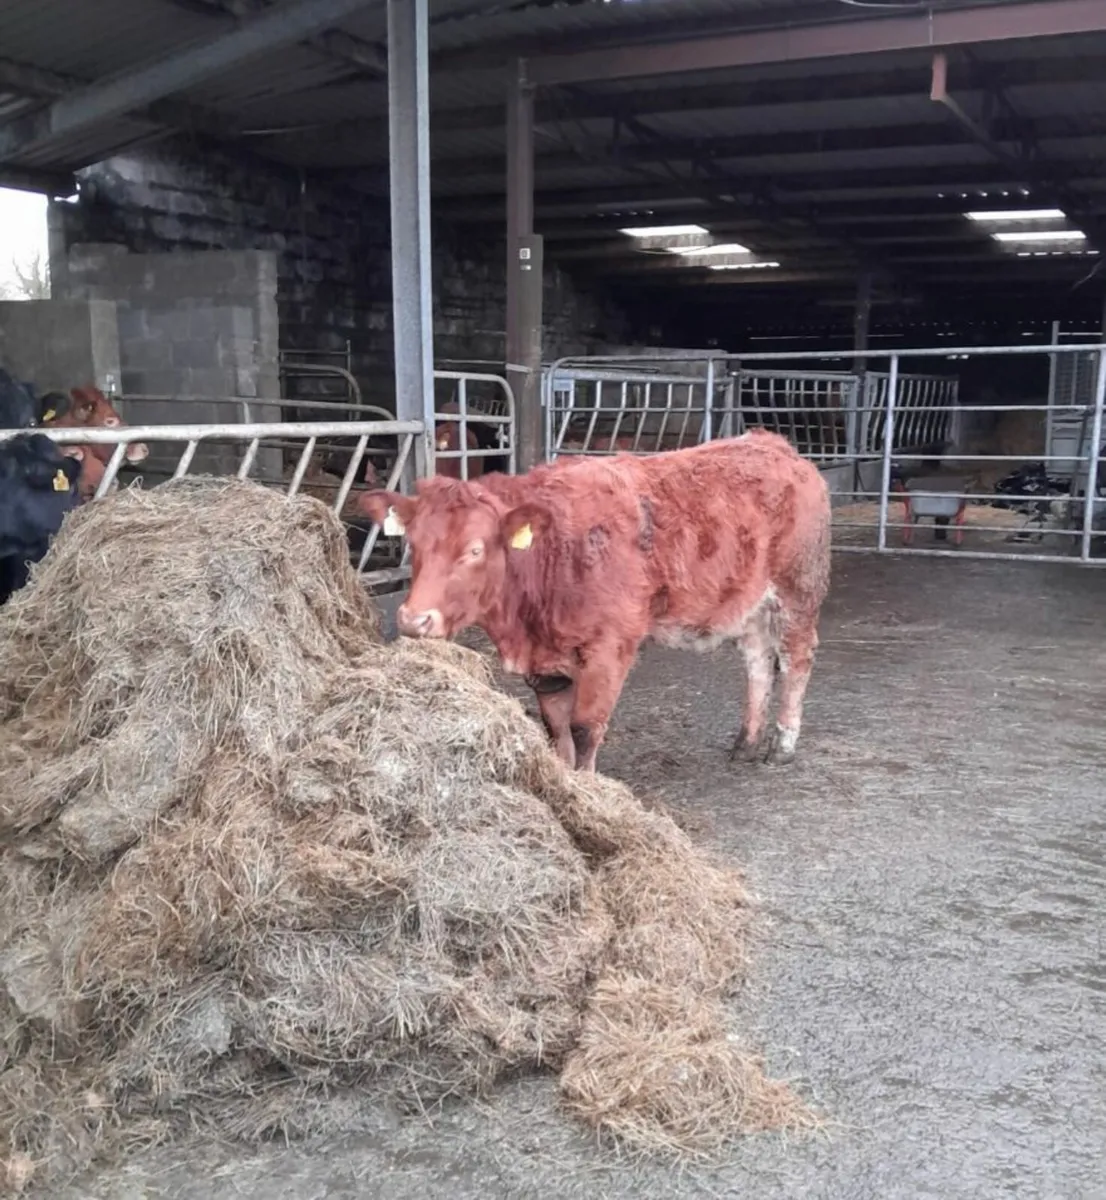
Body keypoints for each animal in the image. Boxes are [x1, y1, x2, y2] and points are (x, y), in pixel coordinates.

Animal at [360, 429, 831, 772]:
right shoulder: (546, 667)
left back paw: (781, 744)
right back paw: (746, 742)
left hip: (798, 590)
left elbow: (585, 729)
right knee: (757, 662)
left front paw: (591, 787)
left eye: (475, 549)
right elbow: (557, 731)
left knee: (797, 658)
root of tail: (775, 445)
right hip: (749, 604)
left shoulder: (609, 648)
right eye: (414, 544)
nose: (414, 619)